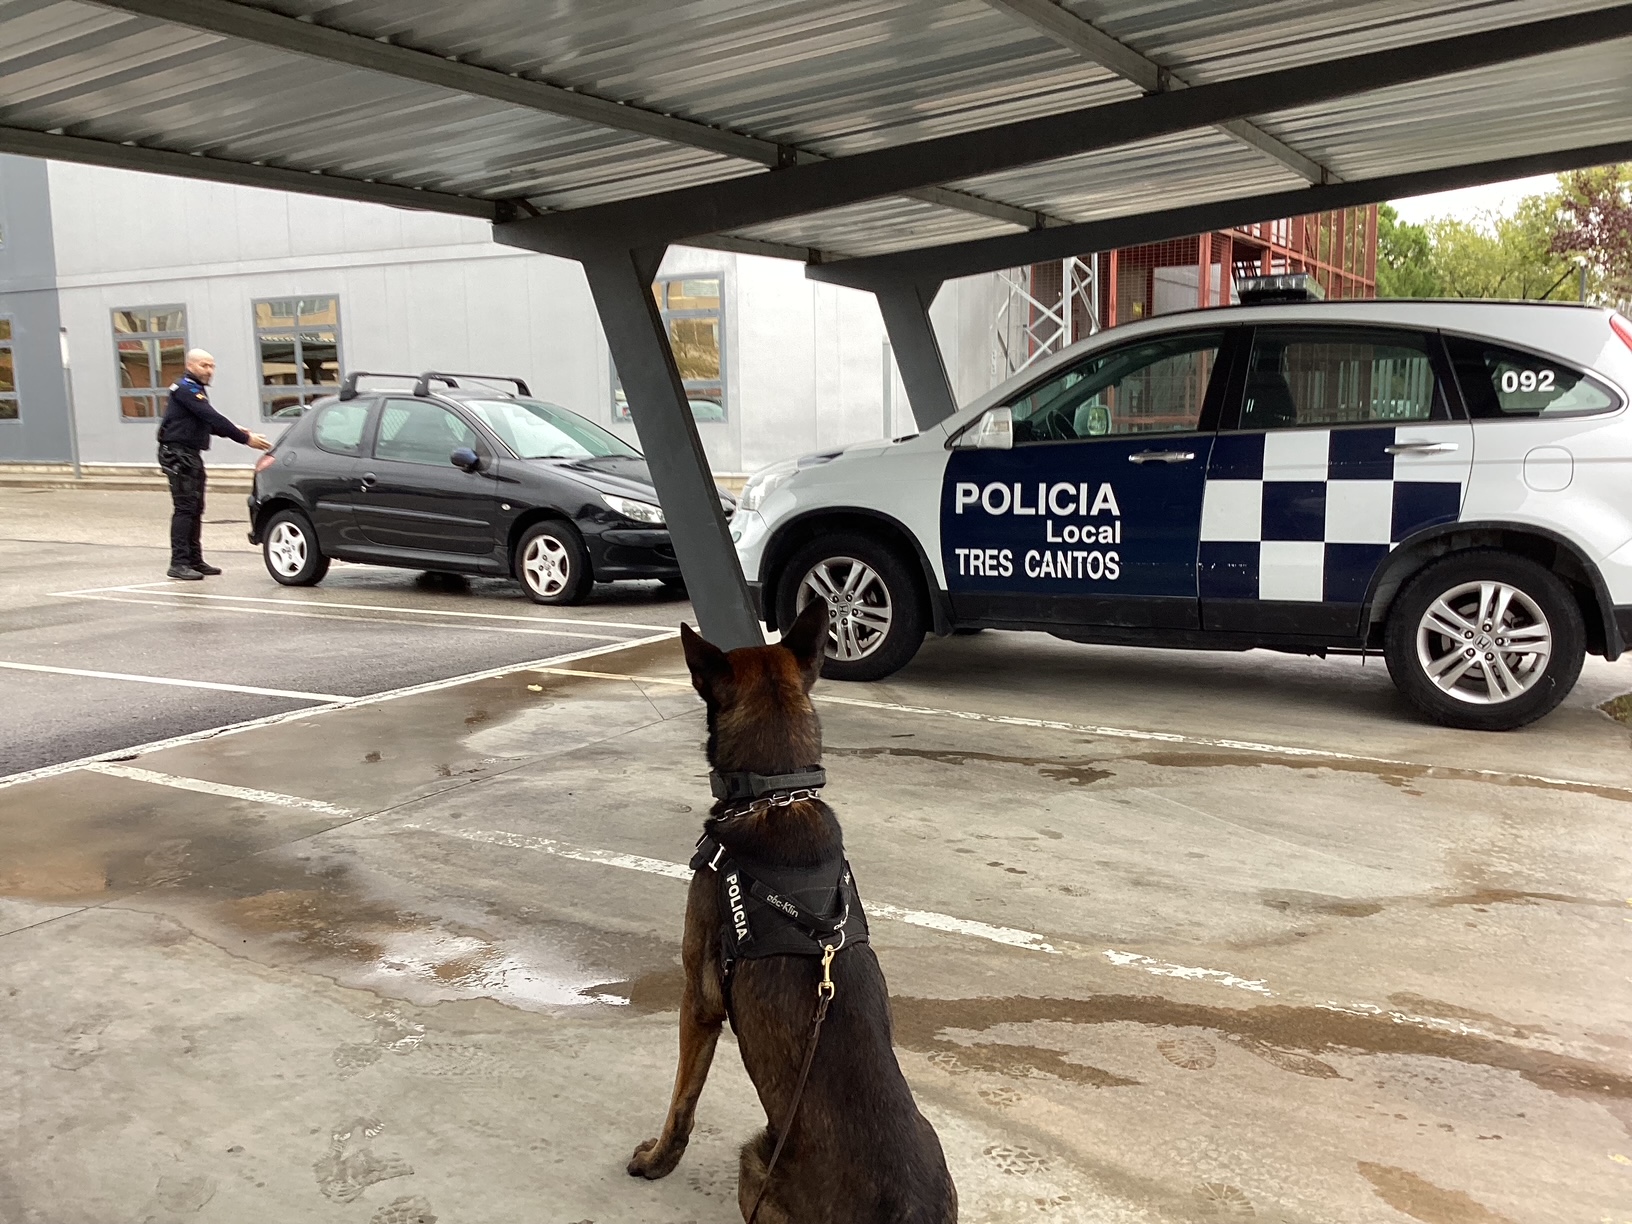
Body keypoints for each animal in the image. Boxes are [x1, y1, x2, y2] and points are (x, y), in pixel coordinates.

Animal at [623, 603, 953, 1224]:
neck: (776, 794)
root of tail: (909, 1212)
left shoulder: (698, 999)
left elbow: (682, 1101)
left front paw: (656, 1162)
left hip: (755, 1161)